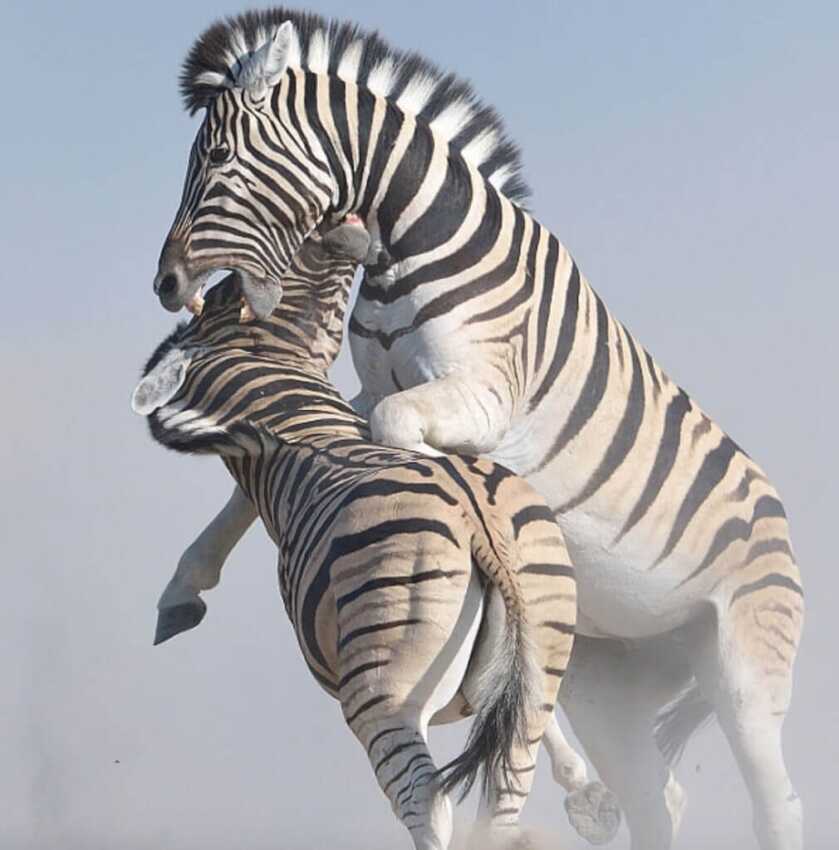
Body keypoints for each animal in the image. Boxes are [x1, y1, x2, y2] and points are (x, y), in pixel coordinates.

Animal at [134, 222, 613, 849]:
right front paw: (587, 793)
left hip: (383, 694)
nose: (352, 235)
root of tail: (478, 524)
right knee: (497, 801)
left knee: (428, 802)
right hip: (530, 606)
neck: (306, 429)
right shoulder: (526, 673)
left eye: (218, 297)